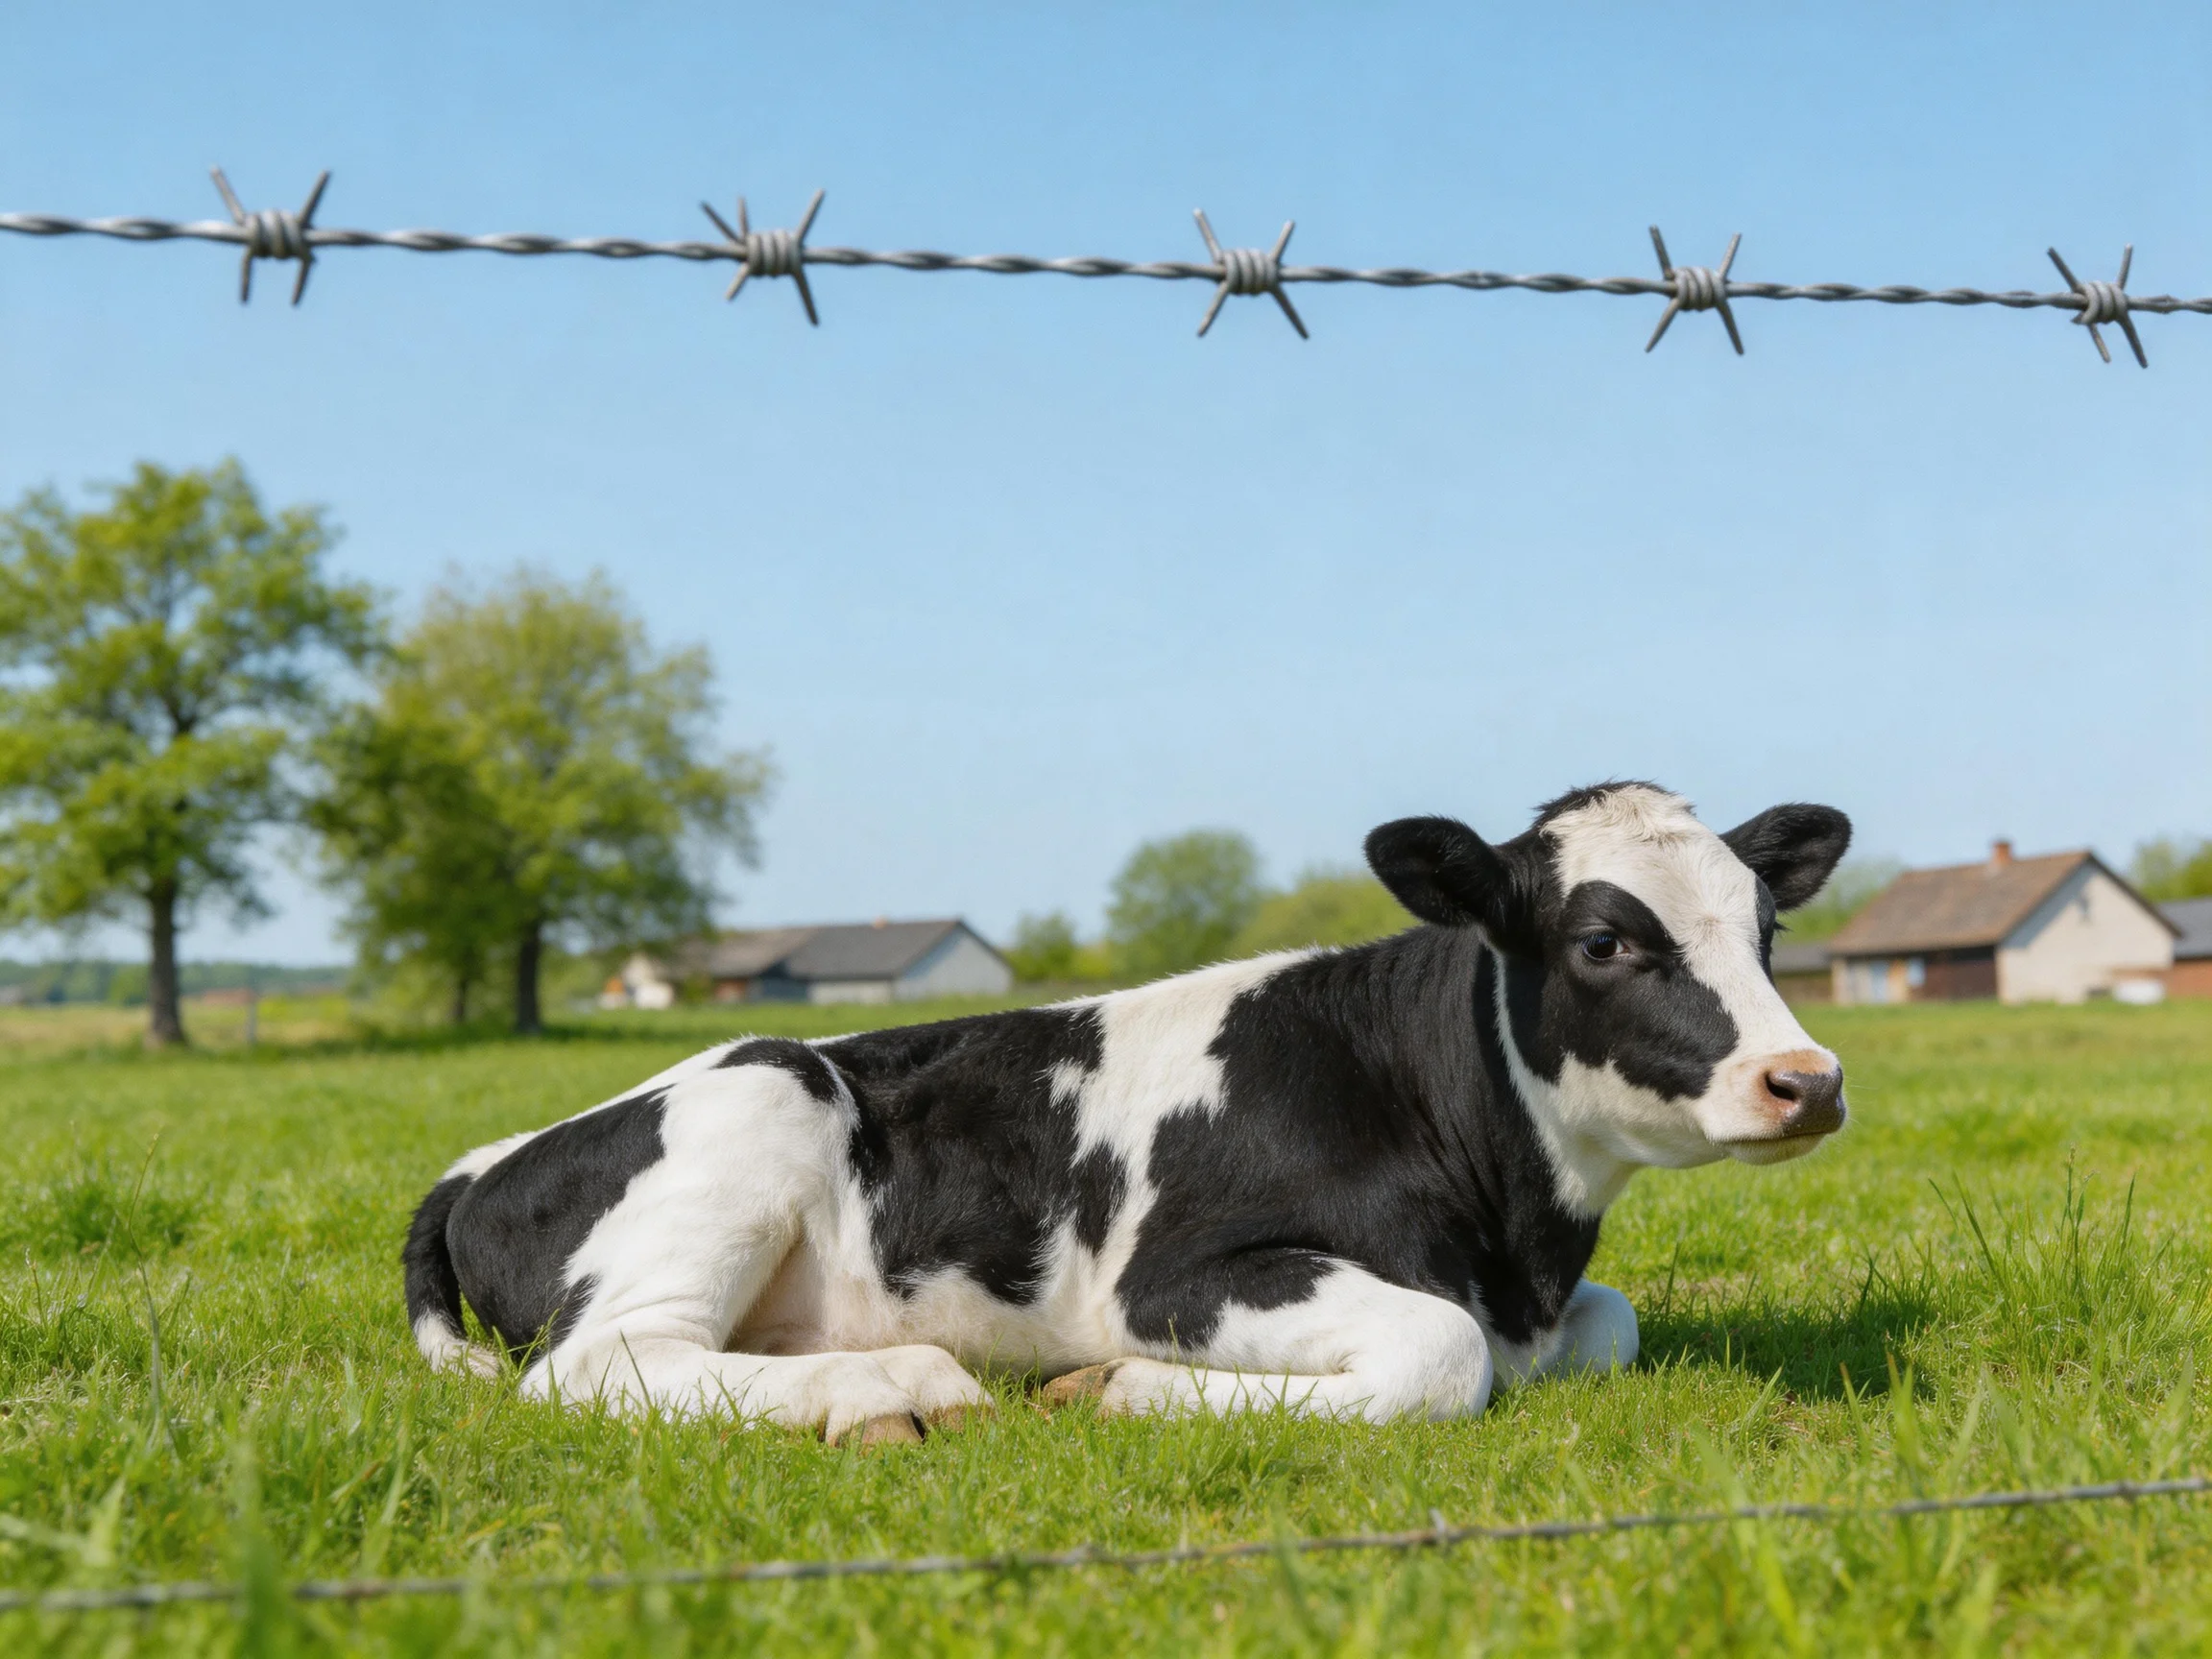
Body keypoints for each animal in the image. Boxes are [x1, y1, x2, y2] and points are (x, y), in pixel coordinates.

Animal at [403, 783, 1850, 1445]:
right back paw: (905, 1383)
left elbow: (1612, 1325)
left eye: (1766, 930)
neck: (1519, 1249)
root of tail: (490, 1157)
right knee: (596, 1367)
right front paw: (1115, 1388)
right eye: (1605, 941)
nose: (1810, 1079)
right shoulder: (1178, 1274)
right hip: (765, 1092)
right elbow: (1442, 1355)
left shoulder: (1560, 1306)